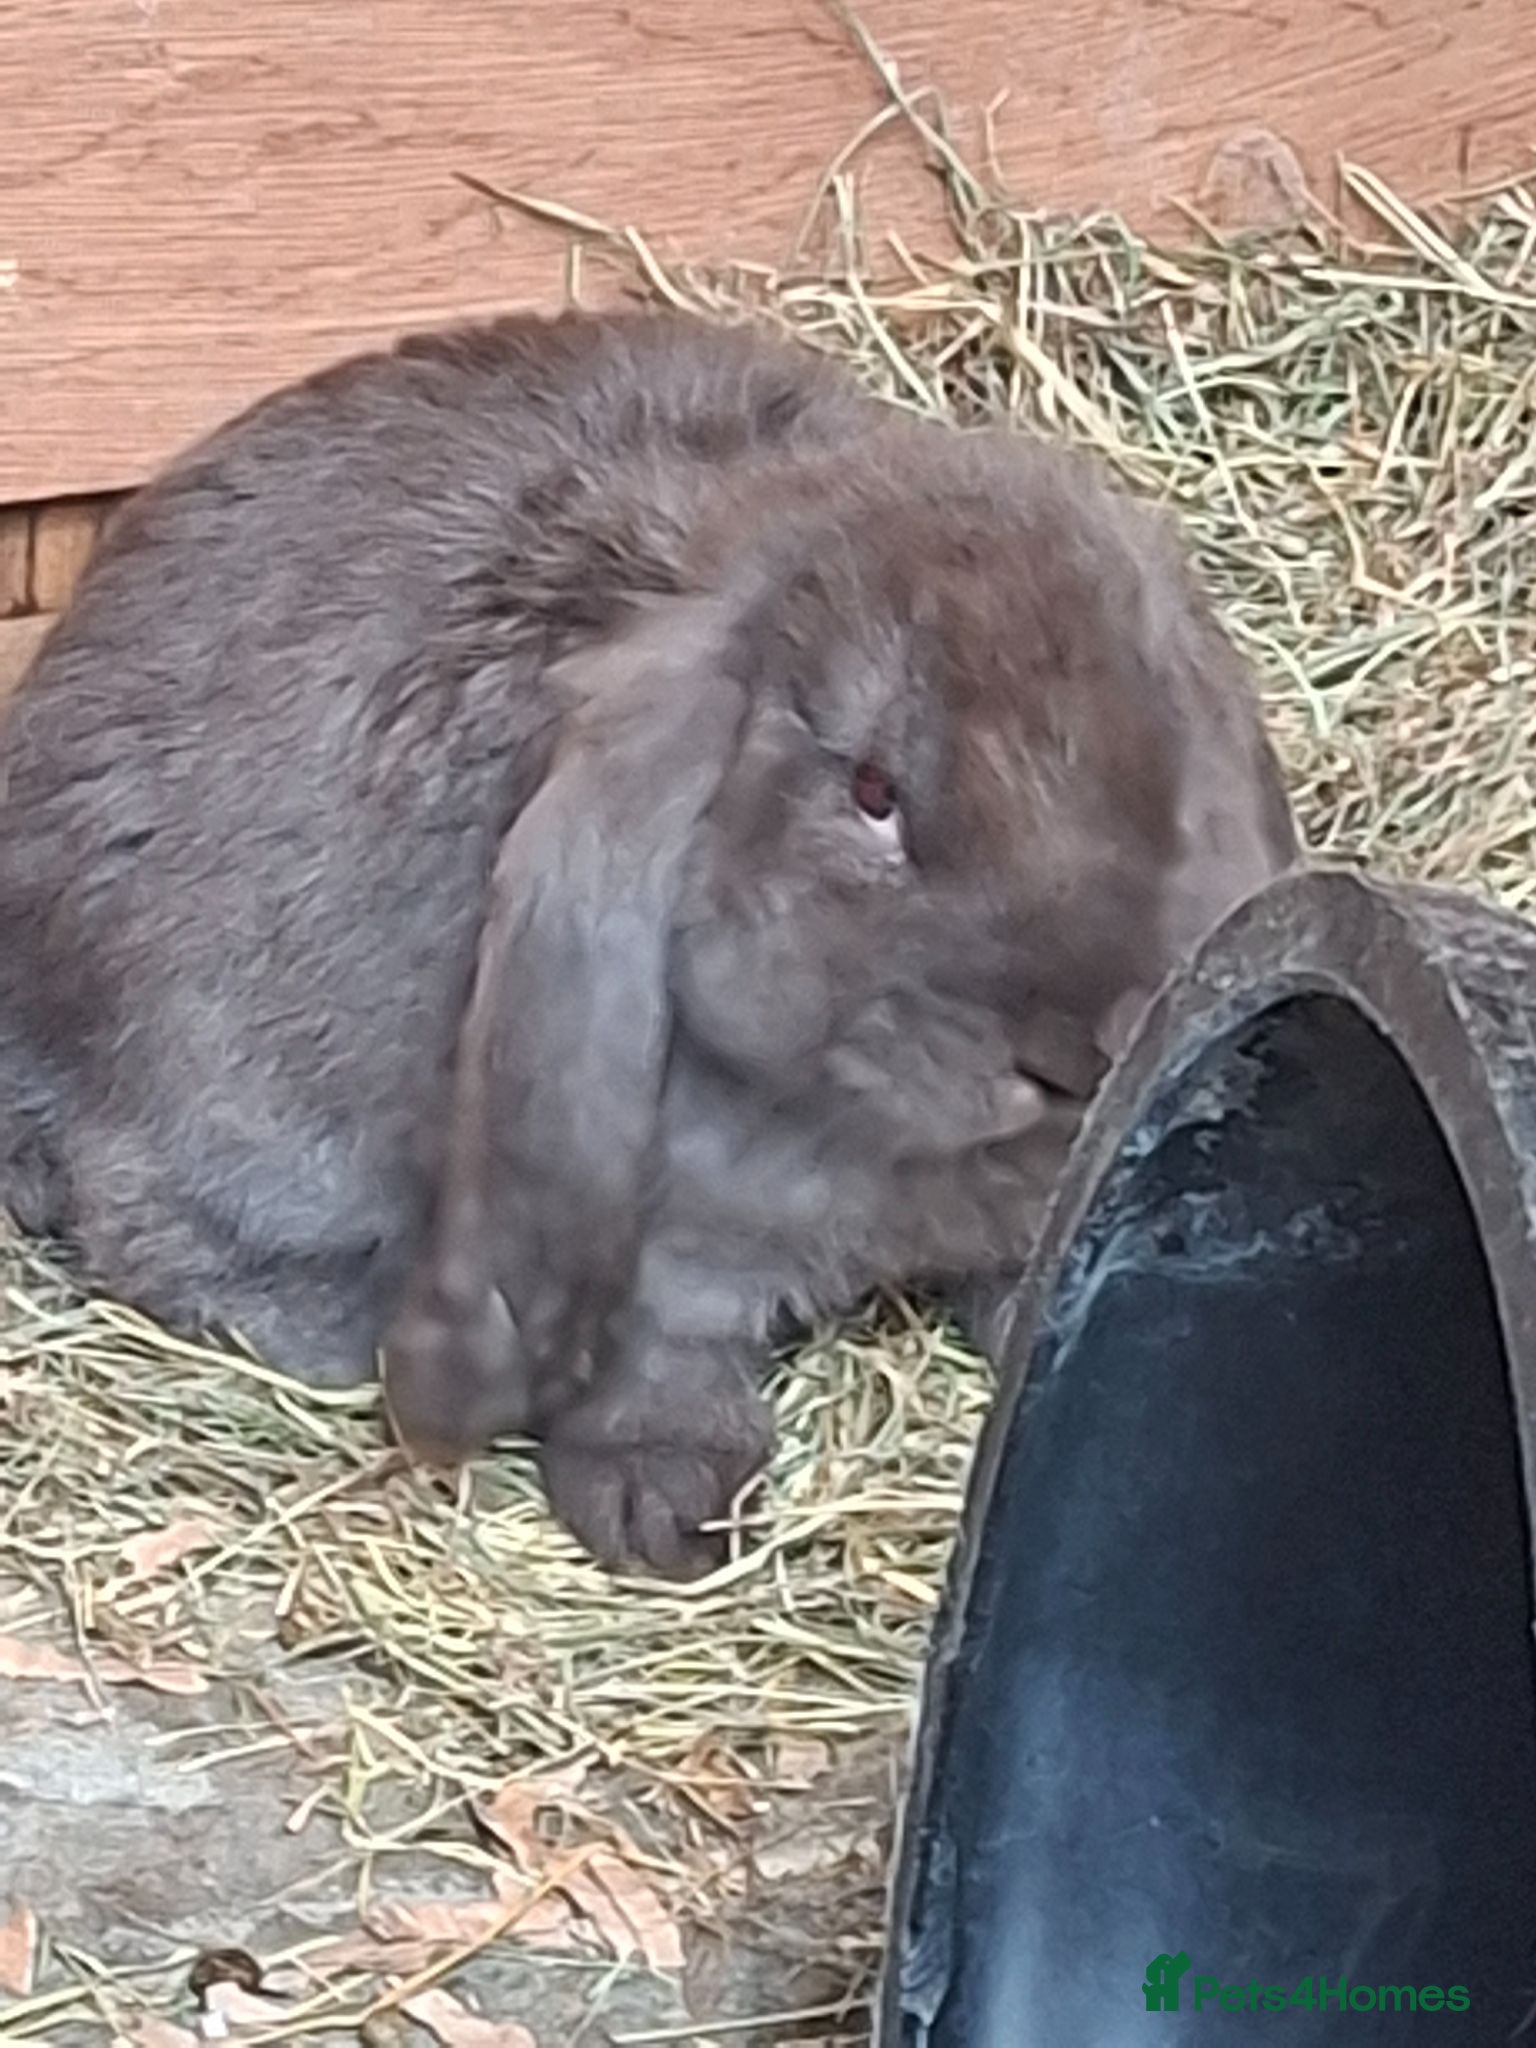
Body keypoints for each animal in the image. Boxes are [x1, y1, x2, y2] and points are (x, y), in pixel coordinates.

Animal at [0, 307, 1299, 1577]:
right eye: (872, 792)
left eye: (1161, 761)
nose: (1084, 1048)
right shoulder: (644, 1252)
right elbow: (656, 1361)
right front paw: (668, 1511)